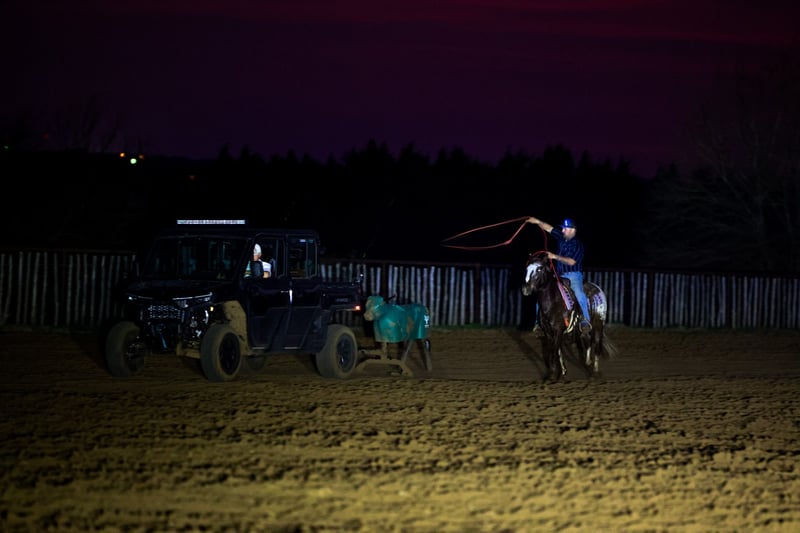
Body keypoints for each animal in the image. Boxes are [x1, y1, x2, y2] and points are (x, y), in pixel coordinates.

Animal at [521, 251, 617, 382]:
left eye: (539, 269)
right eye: (526, 268)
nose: (525, 289)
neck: (553, 301)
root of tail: (598, 289)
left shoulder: (558, 329)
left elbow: (554, 351)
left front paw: (553, 375)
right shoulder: (548, 331)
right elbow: (554, 351)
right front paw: (560, 372)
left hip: (598, 325)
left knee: (597, 346)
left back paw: (595, 372)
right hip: (583, 331)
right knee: (587, 342)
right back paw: (587, 362)